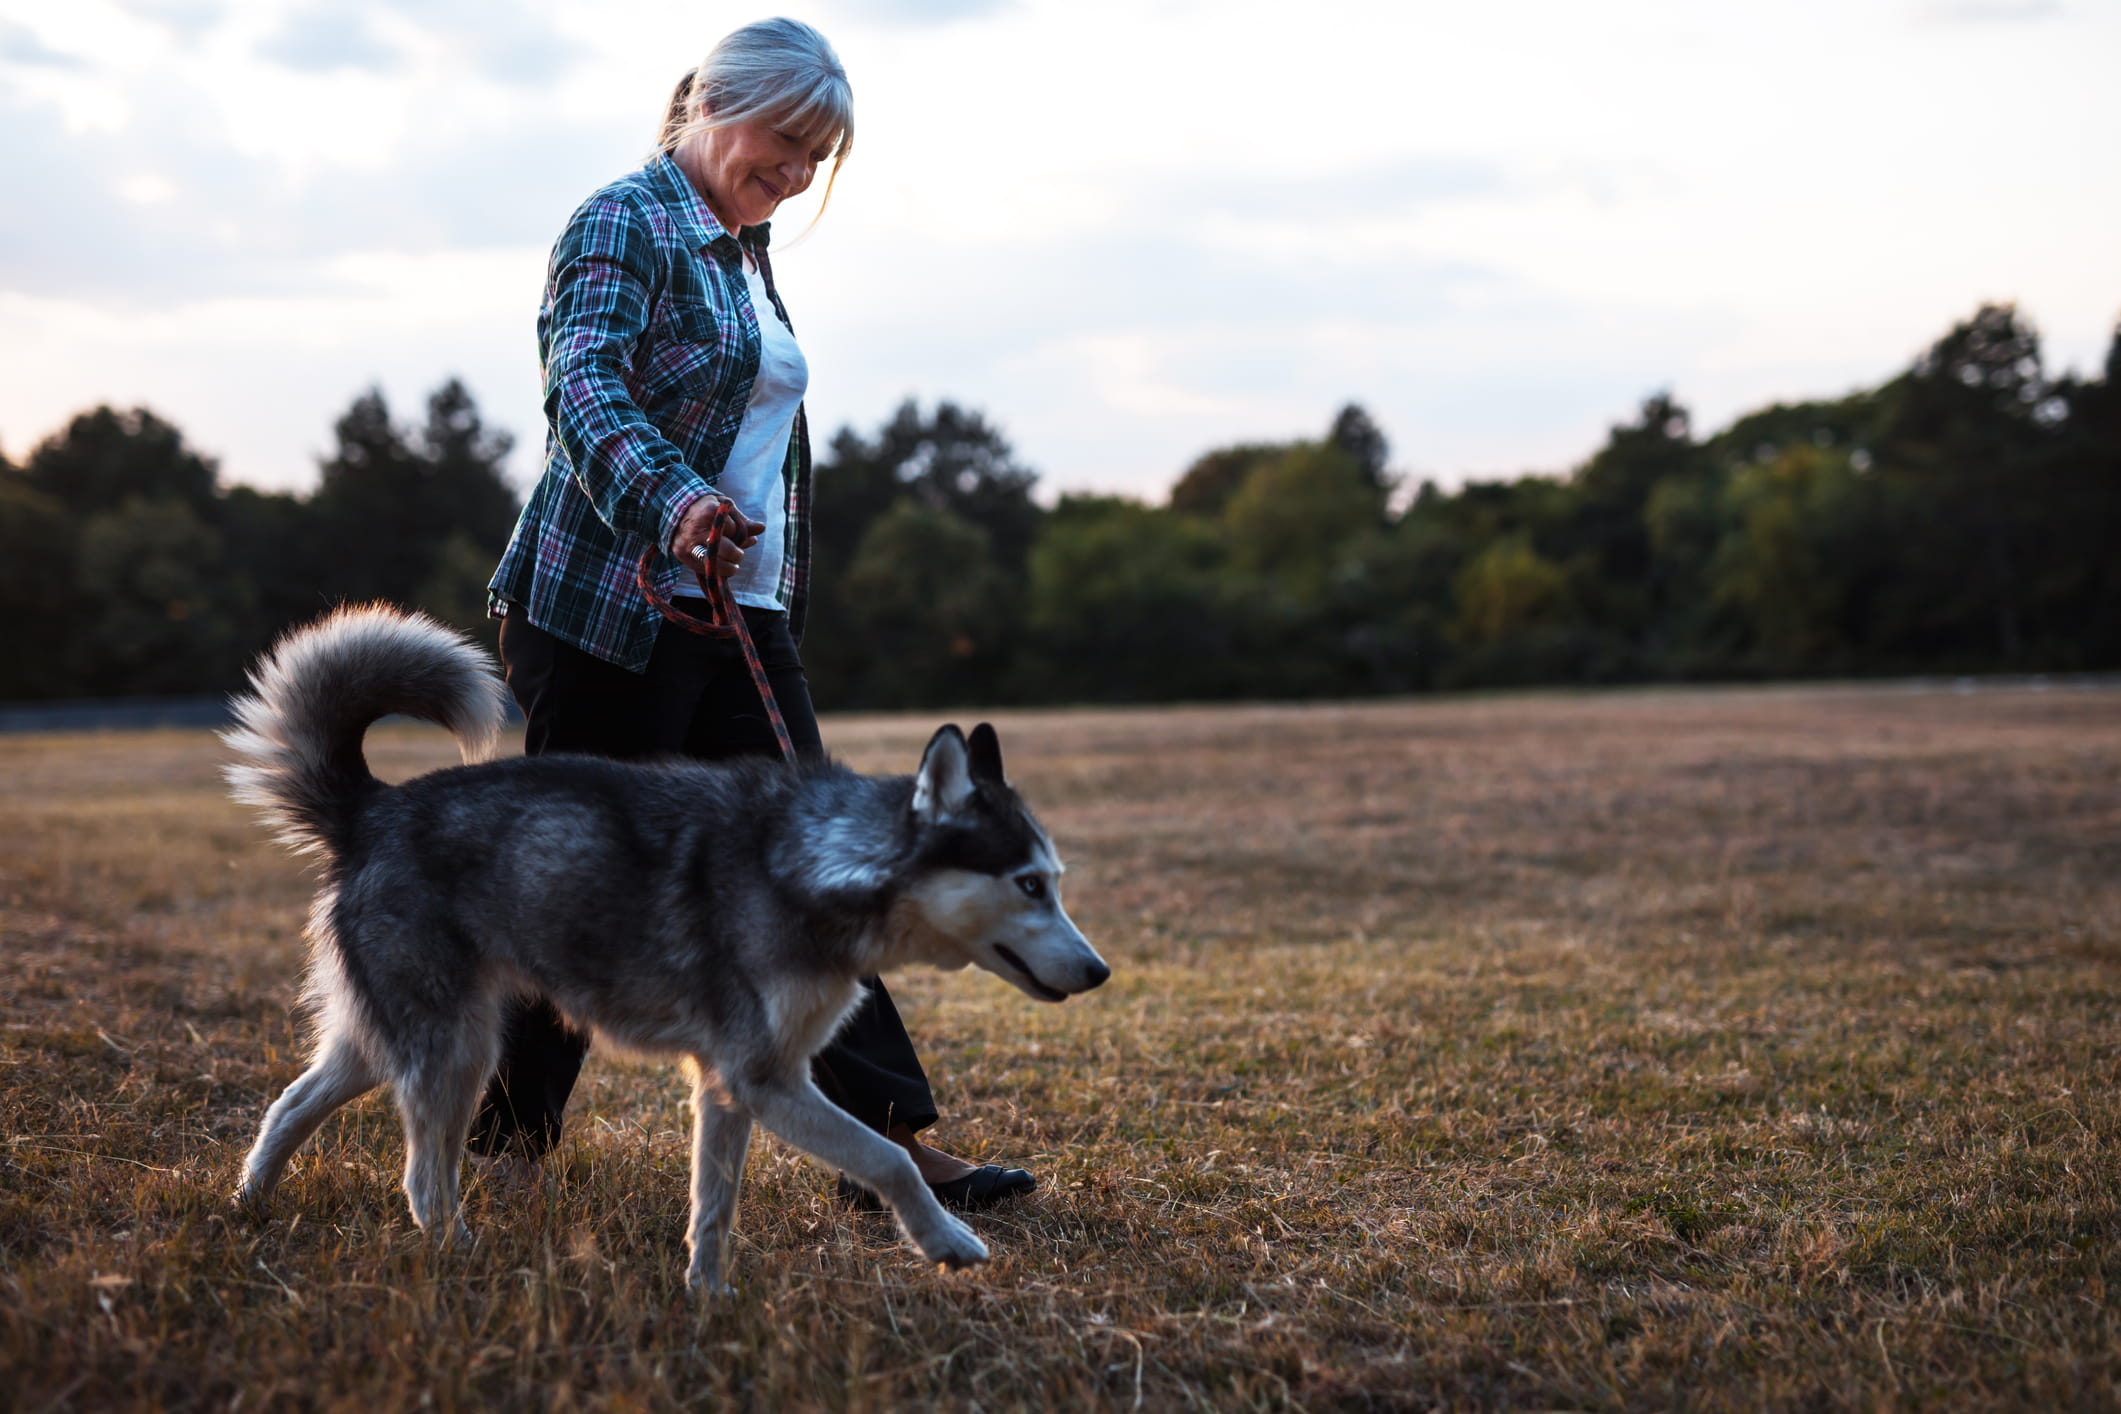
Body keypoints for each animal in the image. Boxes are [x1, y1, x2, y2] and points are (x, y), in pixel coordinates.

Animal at [223, 610, 1111, 1297]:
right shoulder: (763, 1078)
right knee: (421, 1176)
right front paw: (946, 1243)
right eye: (1030, 884)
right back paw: (461, 1255)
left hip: (399, 1037)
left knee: (292, 1102)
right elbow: (888, 1156)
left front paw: (707, 1296)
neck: (821, 863)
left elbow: (714, 1205)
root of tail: (372, 809)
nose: (1100, 971)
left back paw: (250, 1203)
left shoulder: (730, 1085)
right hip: (455, 1047)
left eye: (1055, 881)